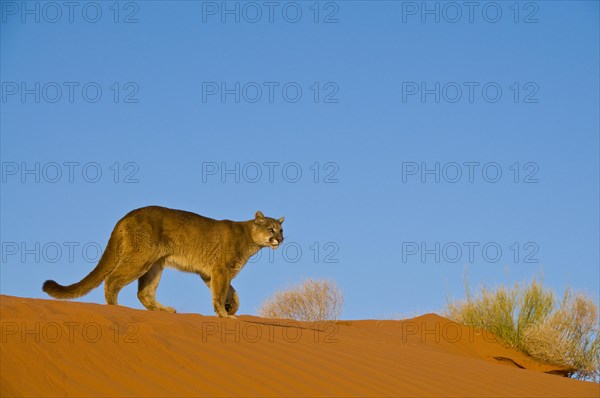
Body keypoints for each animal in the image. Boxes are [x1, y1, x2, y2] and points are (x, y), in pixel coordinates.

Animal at [43, 207, 284, 318]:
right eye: (270, 228)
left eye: (281, 229)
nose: (280, 239)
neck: (249, 238)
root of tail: (127, 215)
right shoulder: (220, 270)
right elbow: (221, 292)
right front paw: (225, 314)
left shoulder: (210, 273)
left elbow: (231, 292)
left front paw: (230, 308)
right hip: (141, 258)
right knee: (112, 280)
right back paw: (116, 308)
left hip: (155, 265)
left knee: (144, 292)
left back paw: (163, 310)